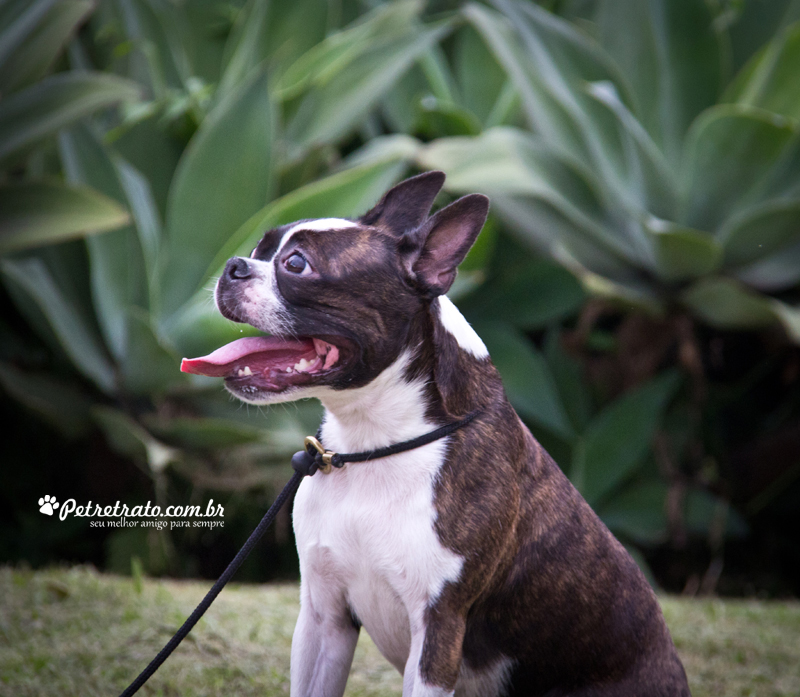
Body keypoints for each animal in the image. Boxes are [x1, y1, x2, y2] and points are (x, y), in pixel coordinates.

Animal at [180, 170, 688, 696]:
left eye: (296, 264)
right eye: (259, 249)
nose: (235, 265)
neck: (373, 441)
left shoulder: (438, 632)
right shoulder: (323, 617)